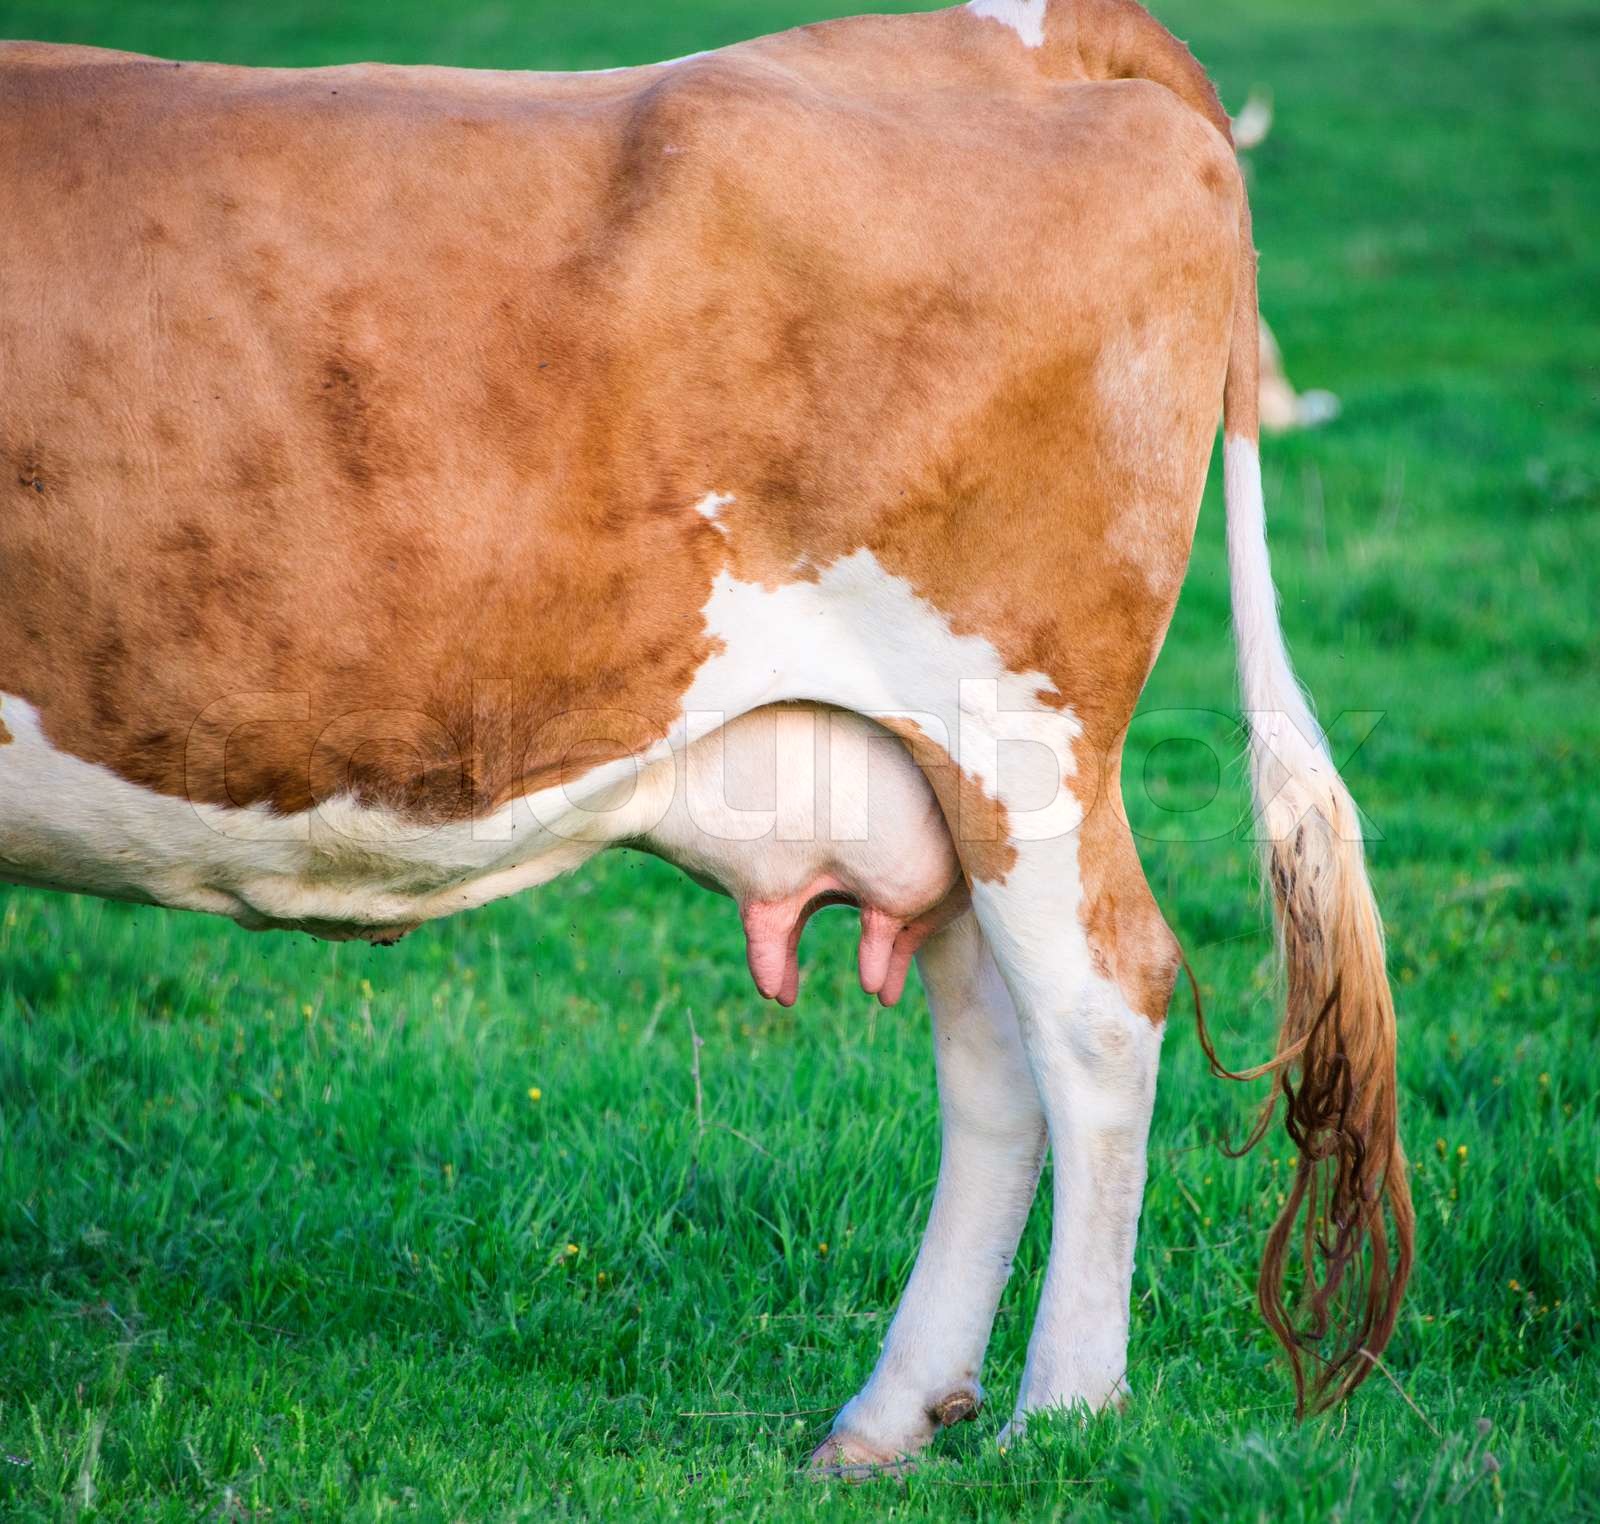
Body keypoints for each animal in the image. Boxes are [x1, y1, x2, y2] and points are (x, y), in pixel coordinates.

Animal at [0, 0, 1411, 1472]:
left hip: (1019, 728)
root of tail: (1029, 40)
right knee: (992, 1056)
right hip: (941, 777)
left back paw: (1063, 1408)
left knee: (1097, 1009)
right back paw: (891, 1416)